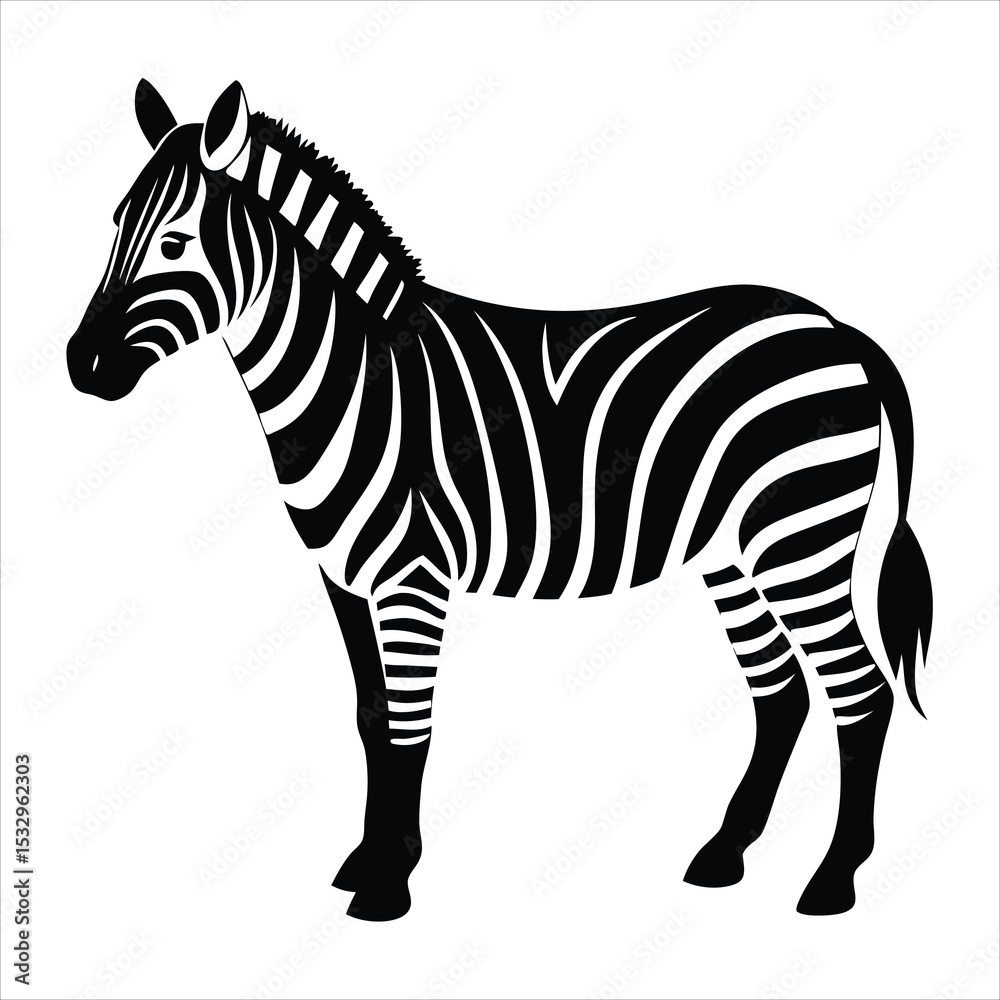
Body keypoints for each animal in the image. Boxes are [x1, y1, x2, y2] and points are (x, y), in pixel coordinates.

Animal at [66, 80, 933, 921]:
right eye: (112, 226)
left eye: (174, 243)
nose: (81, 365)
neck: (360, 378)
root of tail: (835, 327)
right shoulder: (343, 578)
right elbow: (372, 719)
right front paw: (366, 861)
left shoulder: (412, 578)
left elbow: (410, 724)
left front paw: (389, 883)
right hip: (734, 554)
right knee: (781, 692)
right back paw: (724, 854)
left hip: (799, 538)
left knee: (859, 692)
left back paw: (833, 880)